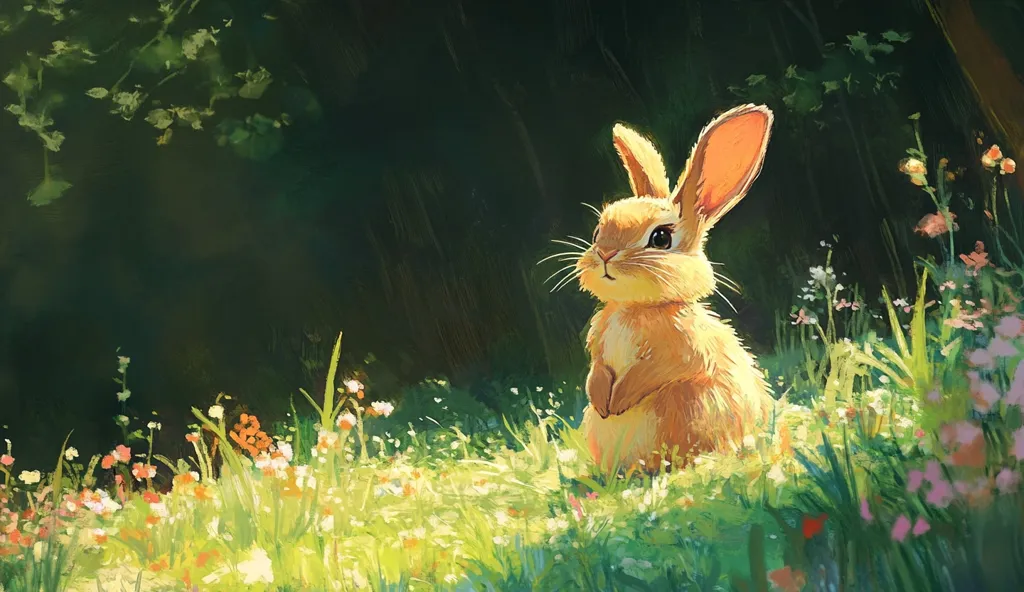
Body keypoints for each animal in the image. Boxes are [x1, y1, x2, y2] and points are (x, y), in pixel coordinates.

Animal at [576, 104, 776, 473]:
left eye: (661, 238)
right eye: (597, 233)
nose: (606, 254)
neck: (636, 308)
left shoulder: (682, 348)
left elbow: (651, 373)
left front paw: (618, 401)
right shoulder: (599, 346)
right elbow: (598, 370)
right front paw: (602, 399)